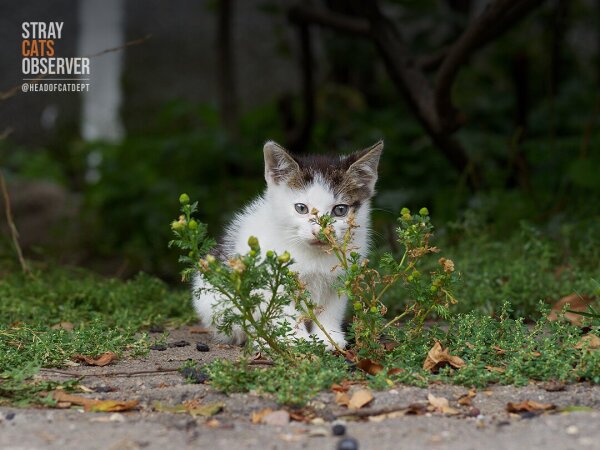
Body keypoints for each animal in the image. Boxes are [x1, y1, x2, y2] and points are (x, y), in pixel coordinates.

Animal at [193, 140, 384, 348]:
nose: (319, 232)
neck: (315, 255)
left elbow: (331, 308)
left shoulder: (340, 277)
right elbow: (284, 309)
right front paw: (295, 340)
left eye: (340, 210)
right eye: (301, 208)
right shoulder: (274, 279)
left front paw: (330, 338)